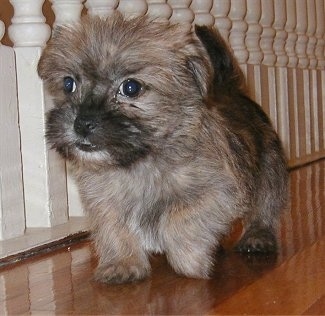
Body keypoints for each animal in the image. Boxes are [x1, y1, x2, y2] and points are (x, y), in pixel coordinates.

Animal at [36, 12, 288, 284]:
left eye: (131, 88)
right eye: (68, 84)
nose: (81, 123)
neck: (140, 161)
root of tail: (230, 90)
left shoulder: (218, 194)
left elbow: (178, 218)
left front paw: (190, 261)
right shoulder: (104, 200)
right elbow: (114, 228)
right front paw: (123, 263)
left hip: (269, 173)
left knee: (264, 209)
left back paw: (257, 237)